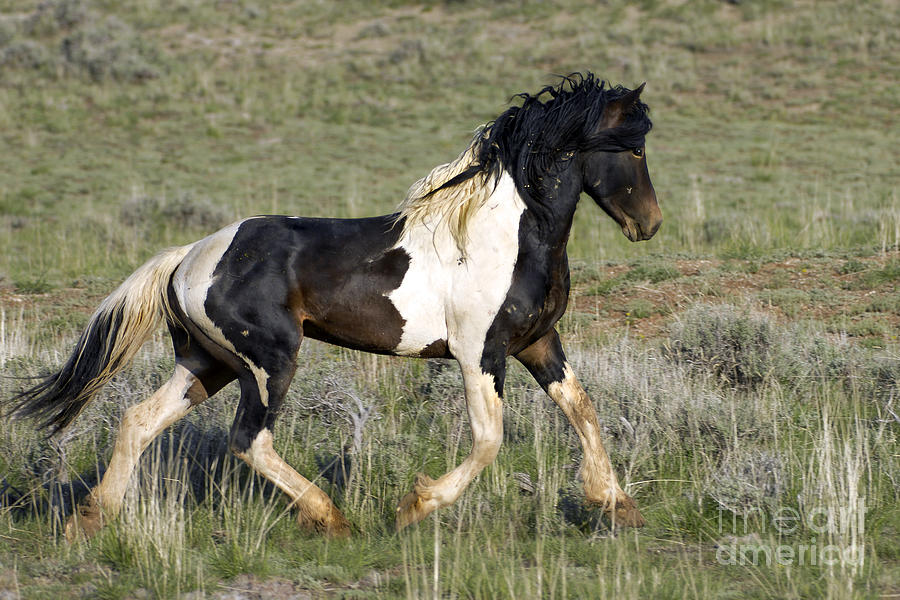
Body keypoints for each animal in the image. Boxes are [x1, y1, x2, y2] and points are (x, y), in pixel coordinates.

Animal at [5, 74, 660, 540]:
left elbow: (583, 409)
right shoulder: (480, 351)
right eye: (632, 149)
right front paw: (414, 506)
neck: (500, 236)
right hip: (270, 361)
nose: (649, 225)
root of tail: (189, 256)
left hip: (207, 363)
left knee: (140, 420)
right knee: (249, 440)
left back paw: (91, 519)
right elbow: (489, 440)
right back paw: (330, 518)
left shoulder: (538, 343)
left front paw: (616, 504)